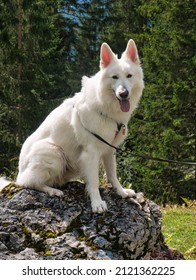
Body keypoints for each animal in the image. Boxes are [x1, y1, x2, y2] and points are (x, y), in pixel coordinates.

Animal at [0, 39, 144, 212]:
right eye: (114, 77)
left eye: (129, 76)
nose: (123, 94)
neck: (104, 106)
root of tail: (19, 173)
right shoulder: (91, 152)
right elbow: (94, 181)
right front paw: (97, 203)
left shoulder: (110, 149)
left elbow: (112, 175)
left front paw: (121, 192)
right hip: (54, 153)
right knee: (29, 183)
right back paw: (52, 191)